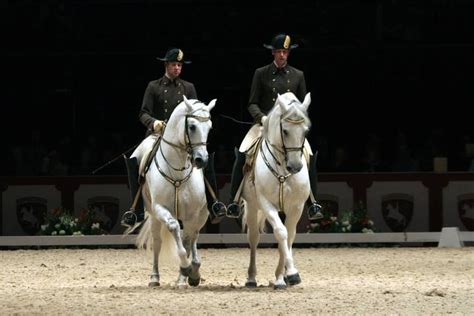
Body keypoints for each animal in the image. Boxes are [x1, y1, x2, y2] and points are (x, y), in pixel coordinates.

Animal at [135, 96, 217, 286]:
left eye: (209, 127)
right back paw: (155, 277)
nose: (201, 160)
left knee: (191, 237)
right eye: (192, 126)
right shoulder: (160, 208)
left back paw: (184, 278)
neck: (178, 172)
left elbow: (189, 240)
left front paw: (191, 273)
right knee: (158, 242)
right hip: (154, 215)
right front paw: (186, 267)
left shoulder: (195, 214)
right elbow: (174, 229)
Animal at [241, 91, 312, 288]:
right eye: (285, 131)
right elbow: (281, 233)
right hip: (252, 206)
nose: (295, 167)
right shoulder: (266, 204)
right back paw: (251, 278)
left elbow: (288, 237)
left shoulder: (296, 207)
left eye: (306, 131)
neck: (281, 167)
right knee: (253, 238)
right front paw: (293, 273)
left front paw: (284, 276)